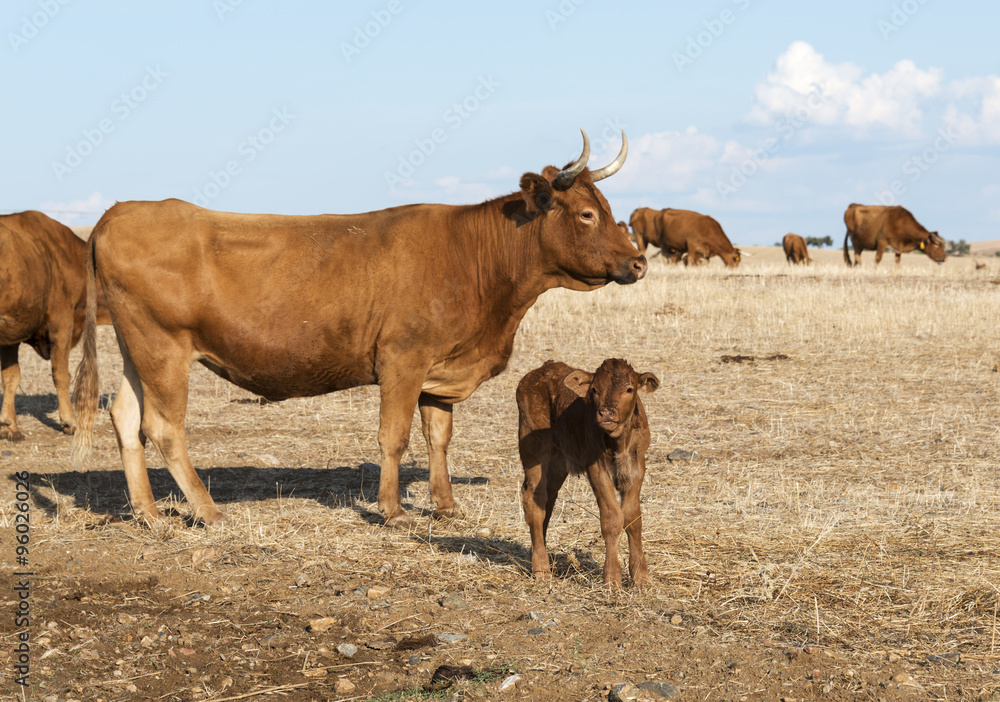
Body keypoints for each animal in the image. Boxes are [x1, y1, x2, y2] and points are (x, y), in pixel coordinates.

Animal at [1, 211, 110, 441]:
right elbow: (61, 374)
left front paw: (9, 426)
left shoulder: (11, 333)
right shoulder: (62, 323)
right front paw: (69, 421)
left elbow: (10, 377)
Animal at [72, 131, 647, 529]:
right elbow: (394, 438)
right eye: (587, 214)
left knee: (125, 416)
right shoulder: (402, 359)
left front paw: (446, 506)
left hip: (137, 347)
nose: (639, 262)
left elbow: (438, 439)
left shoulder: (439, 370)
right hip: (164, 346)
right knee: (163, 426)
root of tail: (119, 211)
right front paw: (392, 511)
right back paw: (208, 511)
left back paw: (148, 514)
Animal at [516, 358, 659, 589]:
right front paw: (612, 578)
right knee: (533, 500)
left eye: (629, 389)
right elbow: (612, 518)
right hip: (532, 447)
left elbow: (632, 518)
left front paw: (641, 577)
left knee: (547, 502)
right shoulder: (597, 469)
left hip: (558, 463)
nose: (606, 412)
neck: (619, 443)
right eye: (594, 390)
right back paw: (541, 568)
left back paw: (538, 556)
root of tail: (543, 368)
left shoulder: (637, 467)